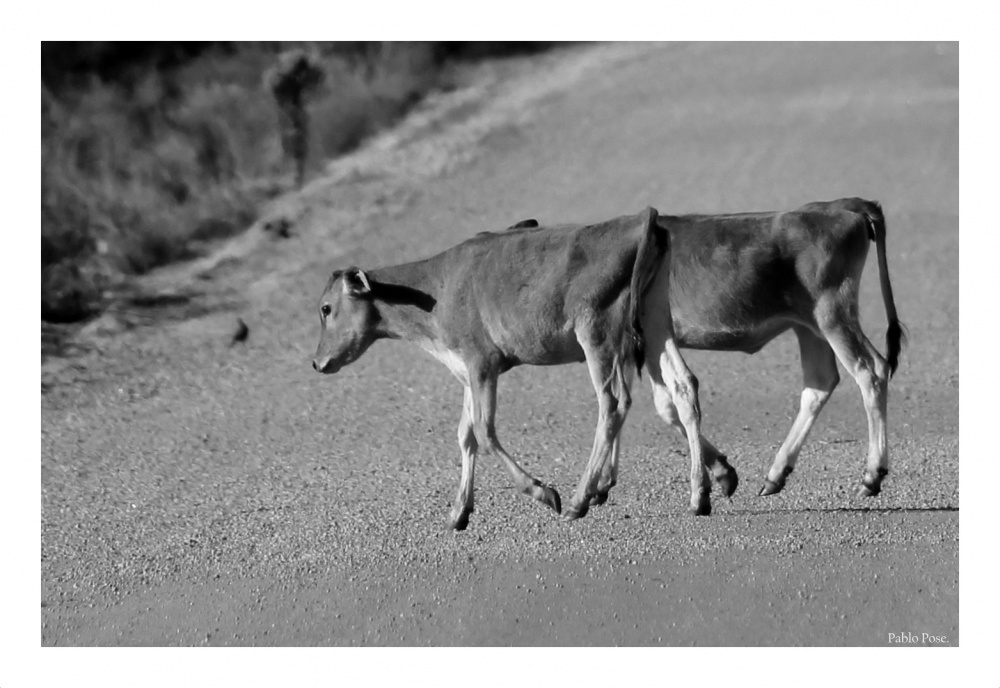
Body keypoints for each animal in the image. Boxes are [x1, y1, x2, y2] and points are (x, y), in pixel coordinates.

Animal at [308, 207, 708, 528]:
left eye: (326, 308)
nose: (317, 361)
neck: (435, 291)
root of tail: (639, 219)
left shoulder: (481, 362)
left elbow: (484, 431)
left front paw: (543, 492)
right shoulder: (466, 372)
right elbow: (465, 434)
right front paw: (459, 512)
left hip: (597, 329)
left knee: (613, 402)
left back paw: (579, 498)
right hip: (654, 319)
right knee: (682, 385)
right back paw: (699, 495)